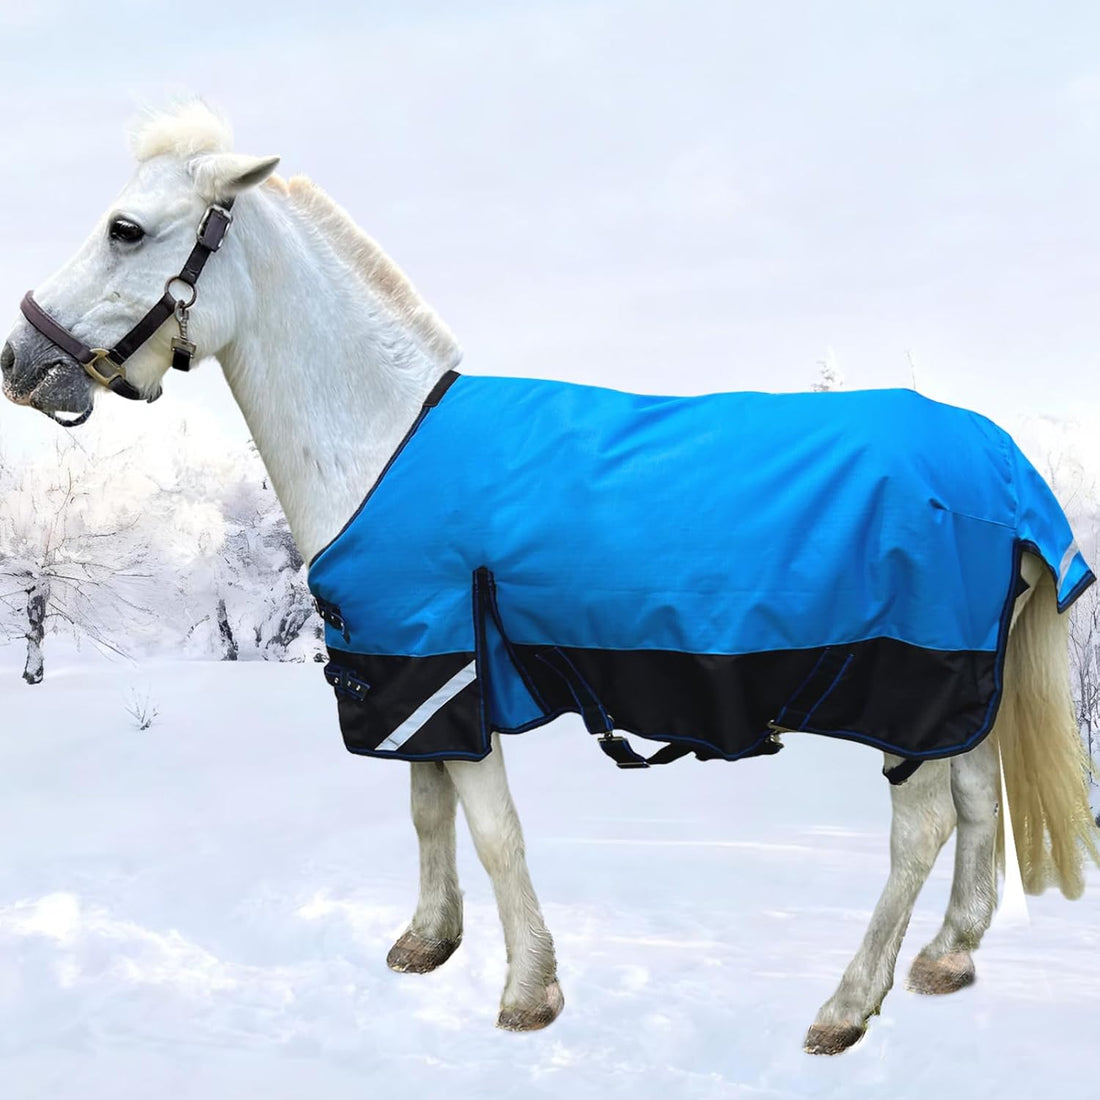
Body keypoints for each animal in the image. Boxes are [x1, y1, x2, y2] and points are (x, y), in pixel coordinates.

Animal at [2, 102, 1097, 1056]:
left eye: (126, 228)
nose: (20, 359)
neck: (386, 438)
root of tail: (999, 459)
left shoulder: (449, 664)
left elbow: (492, 830)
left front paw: (528, 989)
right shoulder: (411, 670)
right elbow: (427, 807)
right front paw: (427, 941)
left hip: (904, 684)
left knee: (922, 829)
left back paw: (845, 1004)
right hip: (957, 686)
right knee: (975, 801)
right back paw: (947, 957)